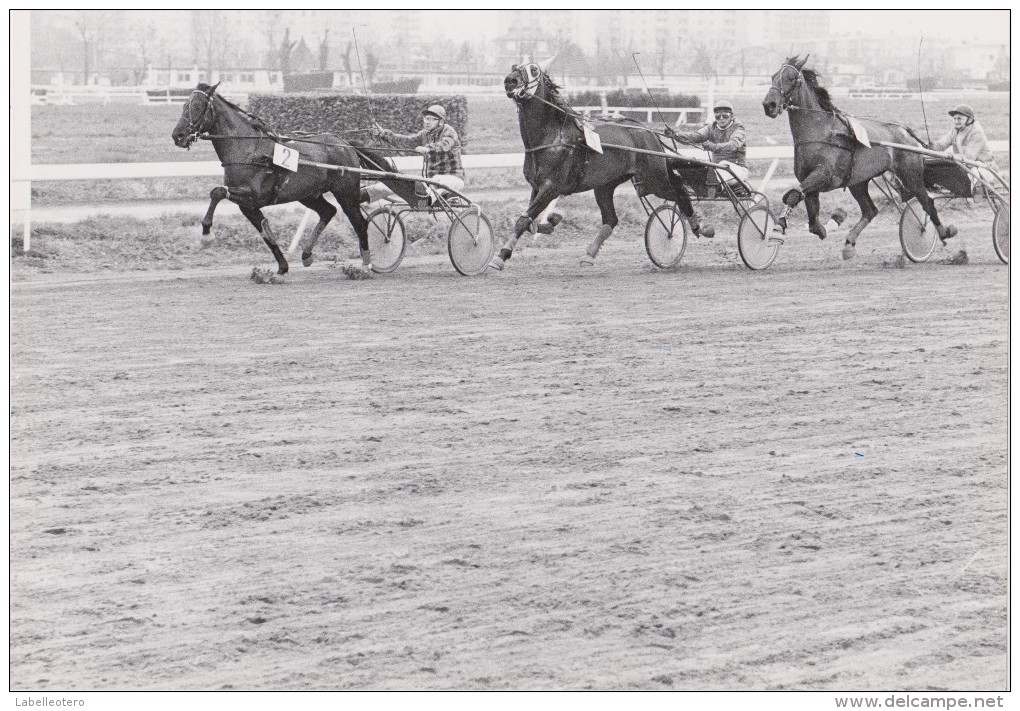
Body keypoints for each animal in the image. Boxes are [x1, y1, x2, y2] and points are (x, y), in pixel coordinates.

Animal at [173, 81, 416, 273]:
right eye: (184, 105)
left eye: (197, 106)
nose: (178, 135)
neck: (248, 149)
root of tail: (344, 144)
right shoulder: (248, 204)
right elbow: (265, 231)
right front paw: (282, 266)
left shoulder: (253, 194)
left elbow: (217, 192)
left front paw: (206, 234)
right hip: (308, 194)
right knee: (328, 211)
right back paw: (307, 254)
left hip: (345, 192)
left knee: (360, 222)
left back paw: (366, 263)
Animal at [487, 60, 701, 271]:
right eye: (514, 67)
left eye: (533, 70)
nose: (510, 81)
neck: (551, 138)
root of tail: (649, 132)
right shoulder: (537, 187)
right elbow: (530, 220)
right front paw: (550, 222)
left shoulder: (551, 187)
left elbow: (524, 219)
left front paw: (500, 256)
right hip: (605, 185)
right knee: (611, 219)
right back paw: (589, 254)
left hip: (655, 180)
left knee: (679, 192)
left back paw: (696, 227)